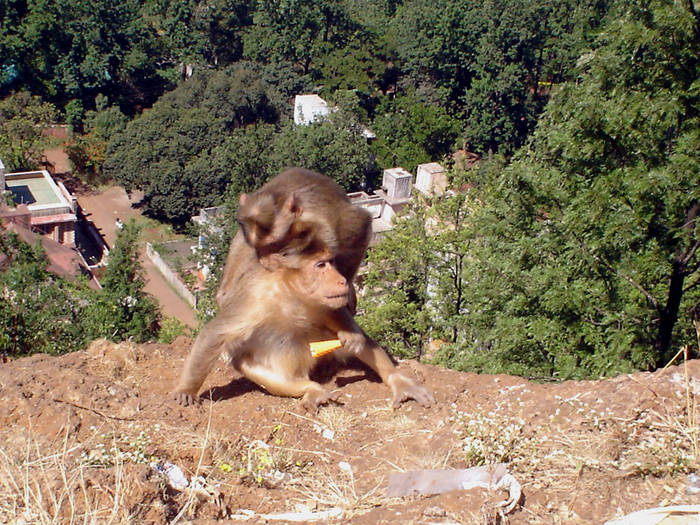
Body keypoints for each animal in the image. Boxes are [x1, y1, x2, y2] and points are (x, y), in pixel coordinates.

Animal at [173, 233, 434, 410]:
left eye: (331, 262)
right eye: (321, 265)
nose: (341, 280)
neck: (291, 293)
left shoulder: (320, 299)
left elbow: (338, 314)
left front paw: (352, 336)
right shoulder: (255, 300)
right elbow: (215, 333)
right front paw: (187, 389)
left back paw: (395, 379)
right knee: (251, 365)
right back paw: (313, 389)